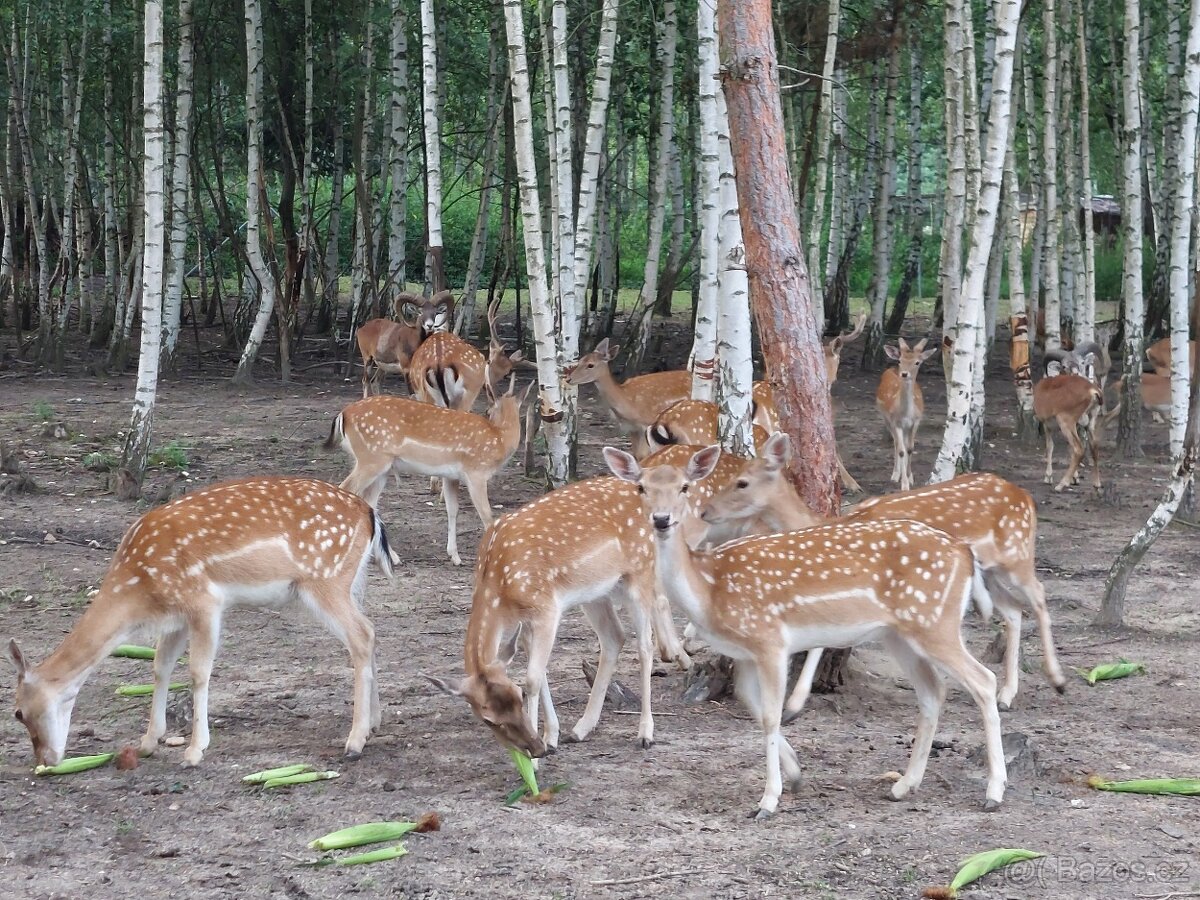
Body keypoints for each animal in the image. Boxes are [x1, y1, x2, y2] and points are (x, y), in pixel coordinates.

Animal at [9, 480, 393, 768]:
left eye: (18, 713)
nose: (45, 760)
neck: (139, 588)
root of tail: (370, 513)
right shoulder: (175, 616)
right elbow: (160, 666)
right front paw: (148, 741)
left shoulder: (204, 601)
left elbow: (198, 671)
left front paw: (195, 751)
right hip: (350, 581)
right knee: (372, 630)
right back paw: (373, 724)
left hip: (325, 579)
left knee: (361, 635)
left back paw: (354, 741)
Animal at [324, 376, 530, 566]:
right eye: (487, 411)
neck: (499, 438)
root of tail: (343, 414)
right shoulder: (476, 472)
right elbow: (487, 515)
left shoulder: (451, 476)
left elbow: (452, 510)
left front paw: (455, 557)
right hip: (372, 459)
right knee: (346, 488)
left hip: (381, 466)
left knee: (369, 501)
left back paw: (392, 557)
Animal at [604, 448, 1008, 820]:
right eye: (641, 487)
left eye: (684, 487)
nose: (661, 520)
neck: (708, 588)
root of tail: (964, 552)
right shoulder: (745, 652)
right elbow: (753, 706)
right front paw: (796, 775)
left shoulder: (769, 639)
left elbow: (771, 715)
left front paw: (768, 800)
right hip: (900, 634)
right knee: (933, 691)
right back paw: (903, 785)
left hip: (935, 622)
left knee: (984, 680)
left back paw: (994, 791)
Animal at [700, 434, 1065, 715]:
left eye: (742, 482)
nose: (704, 511)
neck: (829, 524)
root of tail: (1025, 497)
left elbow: (823, 640)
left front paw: (794, 703)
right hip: (990, 571)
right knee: (1013, 612)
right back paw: (1006, 695)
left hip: (1016, 555)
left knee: (1039, 594)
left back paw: (1057, 680)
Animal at [873, 338, 936, 494]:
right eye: (900, 360)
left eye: (917, 362)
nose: (904, 374)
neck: (906, 413)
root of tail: (890, 370)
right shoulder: (896, 422)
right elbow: (901, 450)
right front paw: (904, 484)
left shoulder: (916, 421)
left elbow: (910, 448)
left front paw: (910, 477)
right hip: (885, 418)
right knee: (896, 443)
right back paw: (895, 475)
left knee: (904, 444)